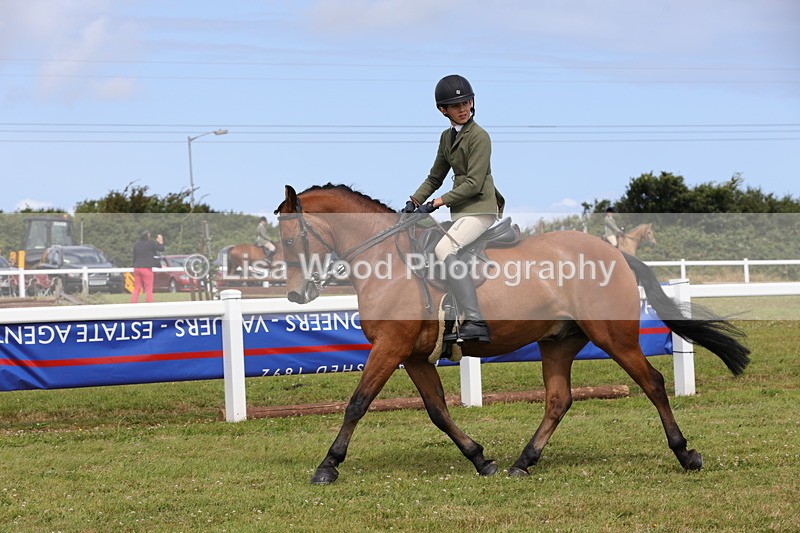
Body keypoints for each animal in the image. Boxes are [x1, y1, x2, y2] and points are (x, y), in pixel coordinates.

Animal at [274, 183, 750, 484]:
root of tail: (614, 253)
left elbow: (357, 403)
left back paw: (686, 453)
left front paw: (328, 466)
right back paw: (523, 461)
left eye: (289, 239)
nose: (297, 294)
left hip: (614, 338)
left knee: (652, 382)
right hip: (558, 341)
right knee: (558, 400)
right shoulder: (411, 356)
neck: (386, 260)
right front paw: (480, 459)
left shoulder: (389, 349)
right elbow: (437, 411)